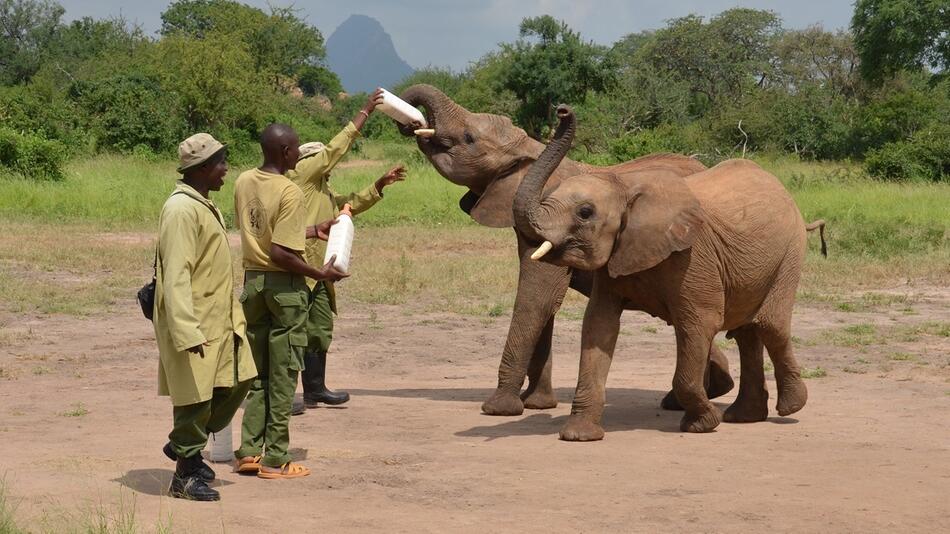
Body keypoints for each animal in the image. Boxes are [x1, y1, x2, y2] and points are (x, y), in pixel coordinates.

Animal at [394, 85, 736, 418]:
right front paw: (537, 404)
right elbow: (545, 303)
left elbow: (537, 298)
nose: (410, 123)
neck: (532, 152)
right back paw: (705, 391)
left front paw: (498, 408)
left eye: (469, 138)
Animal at [512, 105, 824, 444]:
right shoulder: (617, 256)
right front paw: (579, 436)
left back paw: (791, 407)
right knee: (746, 331)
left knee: (770, 325)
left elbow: (701, 322)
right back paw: (745, 417)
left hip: (790, 250)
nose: (562, 110)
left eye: (585, 212)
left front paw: (702, 424)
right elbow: (598, 325)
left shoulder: (693, 256)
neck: (625, 186)